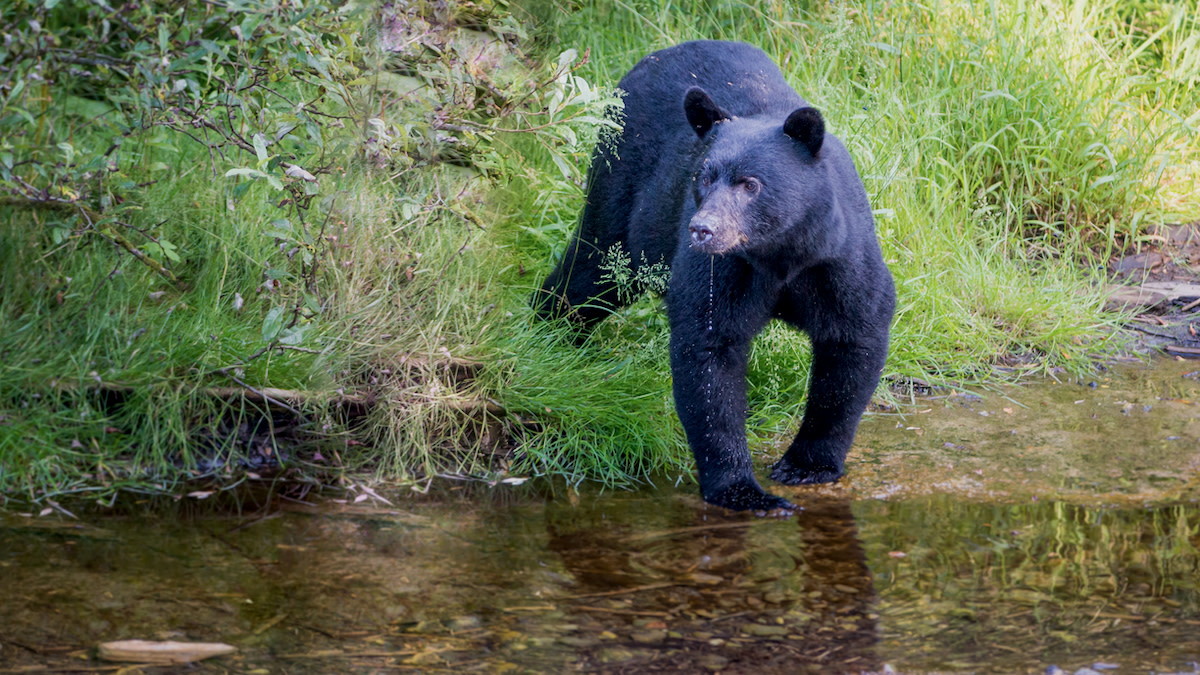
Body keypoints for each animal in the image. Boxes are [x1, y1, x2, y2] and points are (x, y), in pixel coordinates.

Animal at [533, 40, 895, 513]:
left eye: (750, 184)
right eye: (703, 177)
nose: (702, 229)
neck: (778, 254)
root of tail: (652, 58)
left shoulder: (837, 259)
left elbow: (852, 339)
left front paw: (806, 465)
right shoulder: (721, 268)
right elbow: (708, 351)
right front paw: (742, 490)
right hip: (622, 185)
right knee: (591, 270)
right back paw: (548, 331)